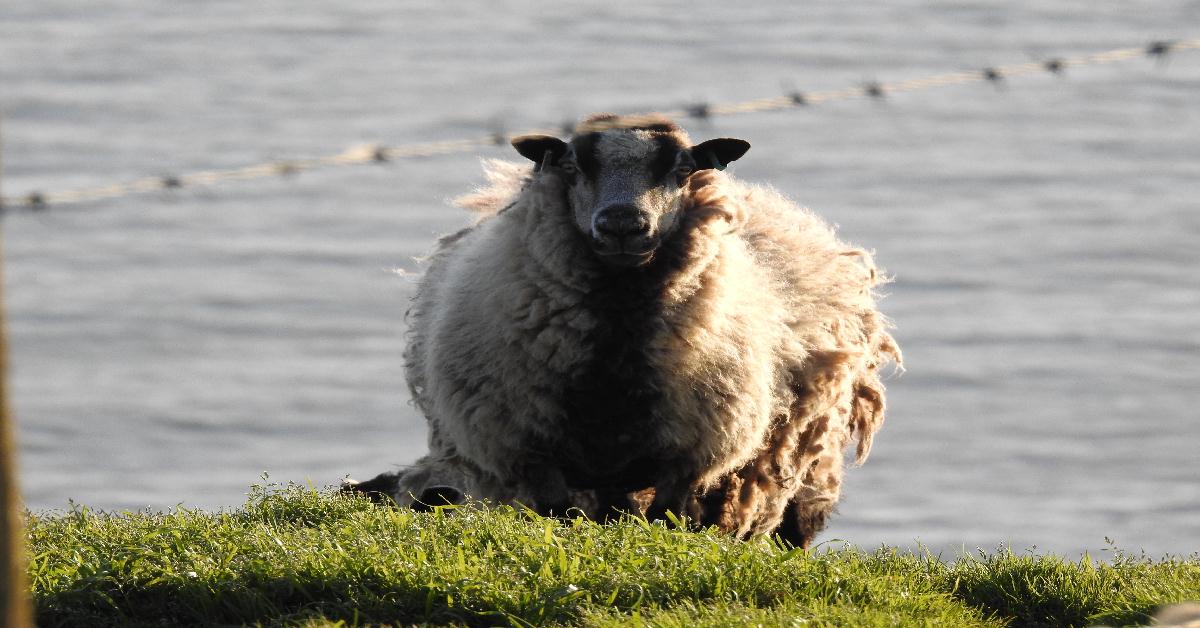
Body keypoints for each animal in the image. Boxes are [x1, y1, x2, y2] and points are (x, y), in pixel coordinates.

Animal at [347, 114, 900, 547]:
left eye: (682, 169)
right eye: (573, 166)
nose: (621, 225)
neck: (616, 345)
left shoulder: (687, 459)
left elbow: (666, 520)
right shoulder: (531, 453)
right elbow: (559, 517)